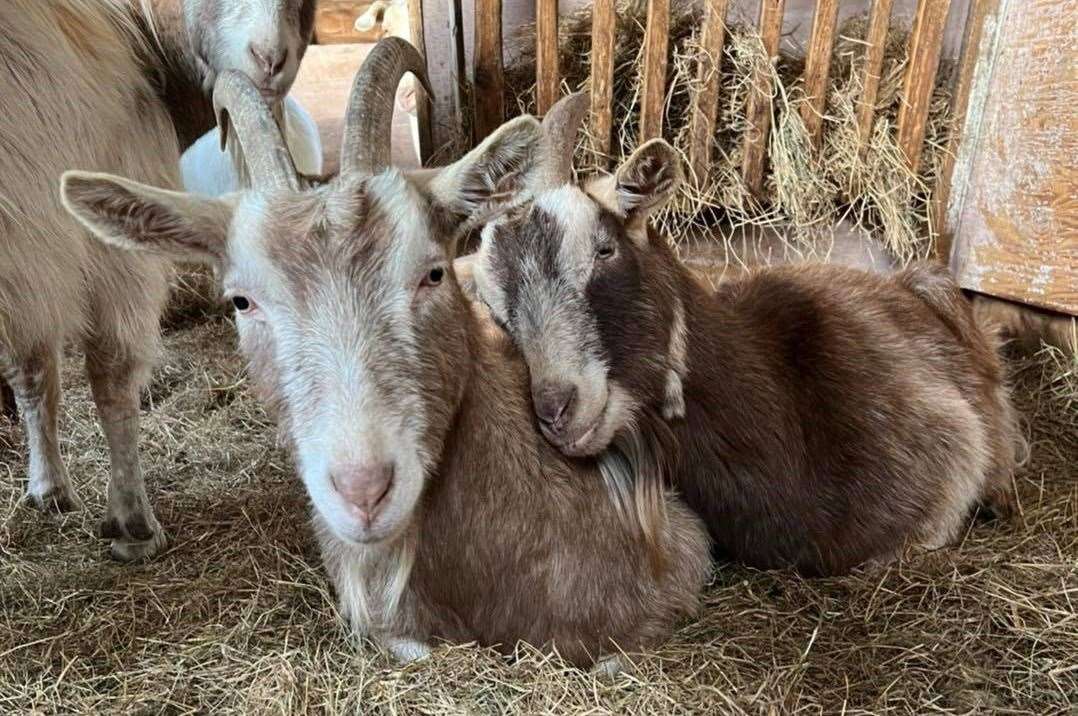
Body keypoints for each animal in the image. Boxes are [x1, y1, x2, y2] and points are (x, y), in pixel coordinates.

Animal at [0, 0, 316, 560]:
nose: (270, 59)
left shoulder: (35, 266)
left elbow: (31, 368)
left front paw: (48, 489)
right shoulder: (105, 235)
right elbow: (113, 374)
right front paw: (133, 524)